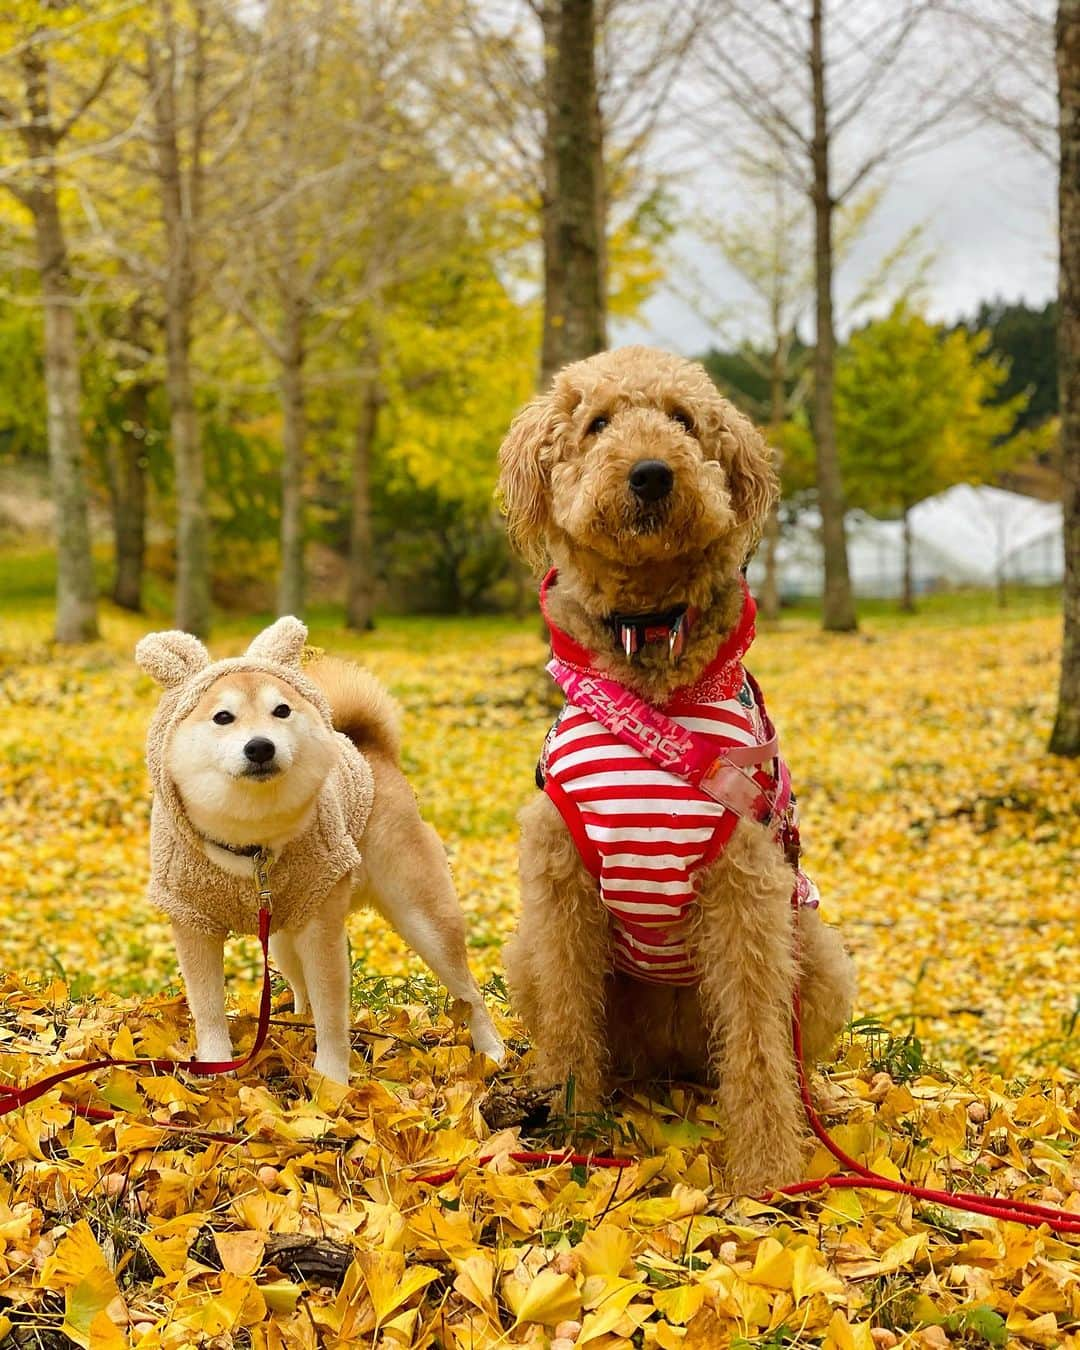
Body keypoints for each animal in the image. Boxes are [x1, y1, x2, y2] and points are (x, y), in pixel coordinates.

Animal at [136, 618, 507, 1080]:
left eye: (282, 711)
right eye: (223, 717)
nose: (260, 746)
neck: (251, 844)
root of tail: (373, 753)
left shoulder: (322, 927)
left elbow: (332, 1013)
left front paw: (331, 1078)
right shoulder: (193, 921)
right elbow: (207, 1010)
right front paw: (217, 1066)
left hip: (423, 918)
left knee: (469, 991)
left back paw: (492, 1051)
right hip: (283, 935)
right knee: (301, 988)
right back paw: (295, 1023)